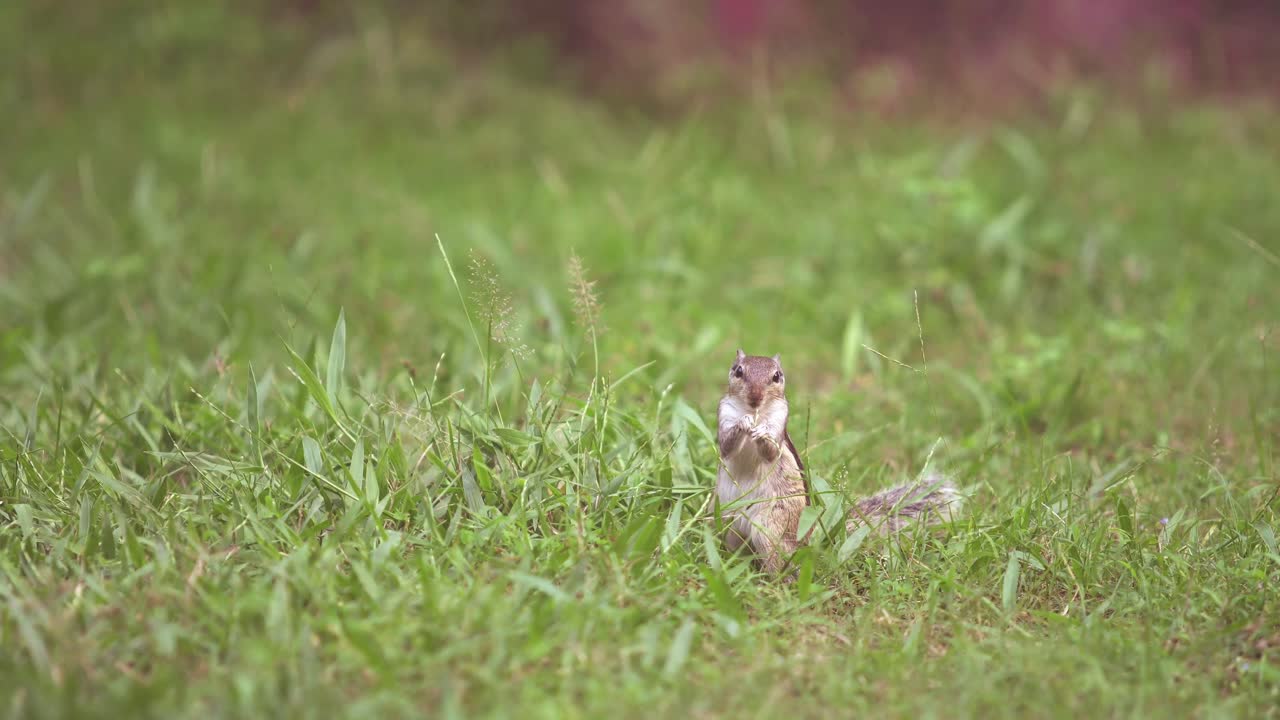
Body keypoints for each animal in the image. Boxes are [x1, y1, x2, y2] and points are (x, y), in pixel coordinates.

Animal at [715, 349, 963, 575]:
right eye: (739, 371)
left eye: (777, 376)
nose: (755, 397)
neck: (756, 411)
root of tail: (809, 539)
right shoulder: (724, 414)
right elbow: (726, 445)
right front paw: (743, 423)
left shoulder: (779, 420)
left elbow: (771, 451)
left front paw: (761, 433)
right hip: (728, 523)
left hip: (771, 528)